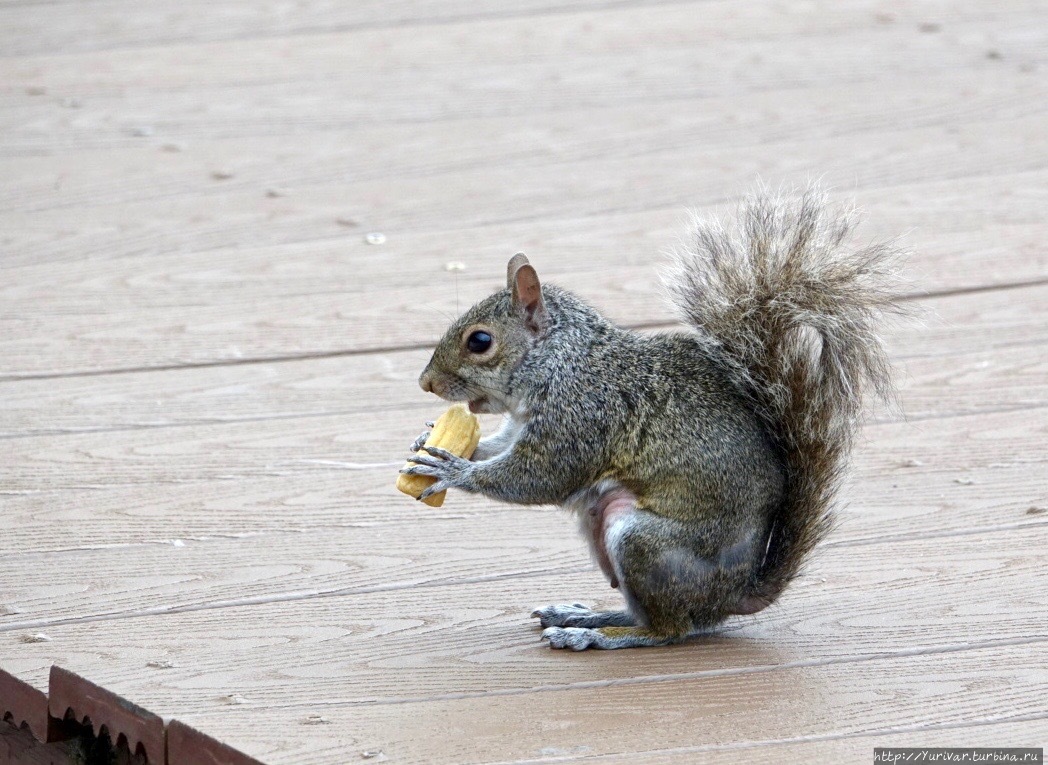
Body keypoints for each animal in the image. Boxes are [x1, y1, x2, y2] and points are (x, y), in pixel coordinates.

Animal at [400, 183, 901, 645]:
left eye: (480, 341)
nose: (426, 383)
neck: (563, 360)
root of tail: (733, 595)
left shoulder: (583, 416)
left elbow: (538, 476)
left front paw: (455, 470)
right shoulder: (525, 423)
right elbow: (501, 446)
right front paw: (431, 443)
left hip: (644, 543)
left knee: (667, 630)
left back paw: (597, 635)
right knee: (644, 615)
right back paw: (585, 615)